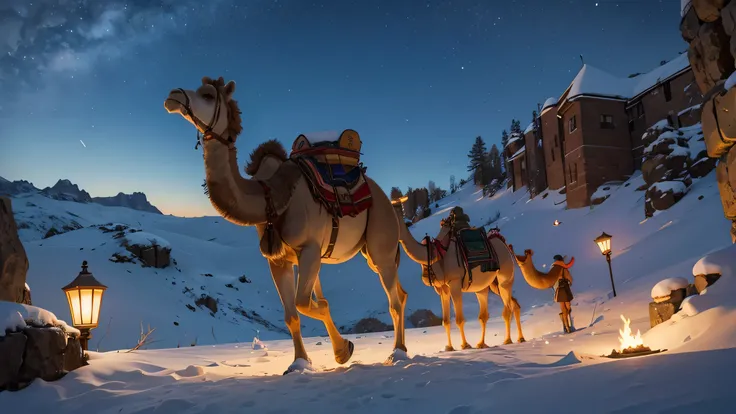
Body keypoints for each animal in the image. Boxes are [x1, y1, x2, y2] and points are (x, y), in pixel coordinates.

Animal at [162, 76, 412, 374]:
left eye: (208, 95)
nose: (173, 95)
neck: (270, 196)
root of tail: (387, 201)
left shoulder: (310, 249)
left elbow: (305, 303)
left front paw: (344, 349)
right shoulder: (278, 259)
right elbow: (294, 313)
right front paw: (302, 362)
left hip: (381, 243)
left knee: (393, 301)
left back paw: (398, 352)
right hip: (372, 253)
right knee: (400, 293)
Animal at [394, 210, 528, 350]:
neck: (435, 254)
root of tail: (503, 243)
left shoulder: (455, 283)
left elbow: (459, 319)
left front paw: (465, 345)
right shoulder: (443, 288)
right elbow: (446, 321)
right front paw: (449, 347)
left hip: (504, 277)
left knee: (507, 308)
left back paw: (507, 340)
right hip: (489, 285)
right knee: (498, 309)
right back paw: (490, 342)